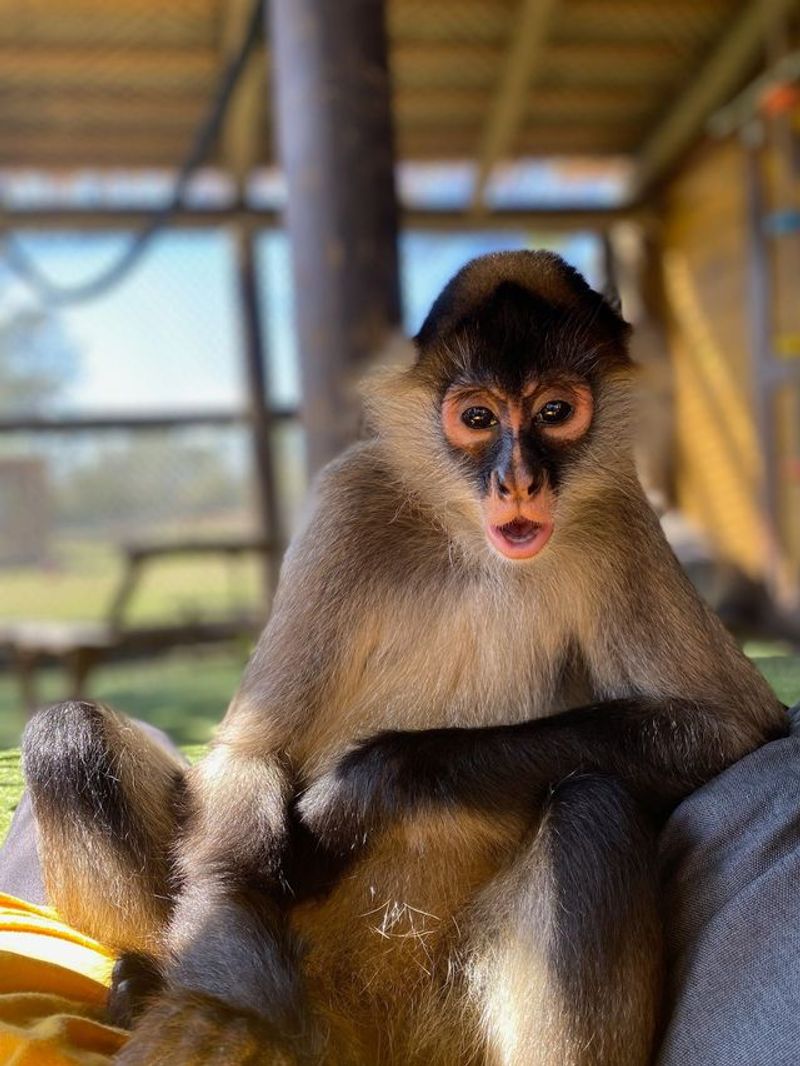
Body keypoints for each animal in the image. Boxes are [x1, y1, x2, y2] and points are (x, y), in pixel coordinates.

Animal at [22, 250, 786, 1066]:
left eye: (555, 413)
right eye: (478, 419)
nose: (518, 480)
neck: (475, 545)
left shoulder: (617, 513)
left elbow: (732, 726)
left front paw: (364, 788)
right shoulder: (347, 498)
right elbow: (249, 755)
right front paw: (232, 1009)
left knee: (593, 808)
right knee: (69, 735)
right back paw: (146, 981)